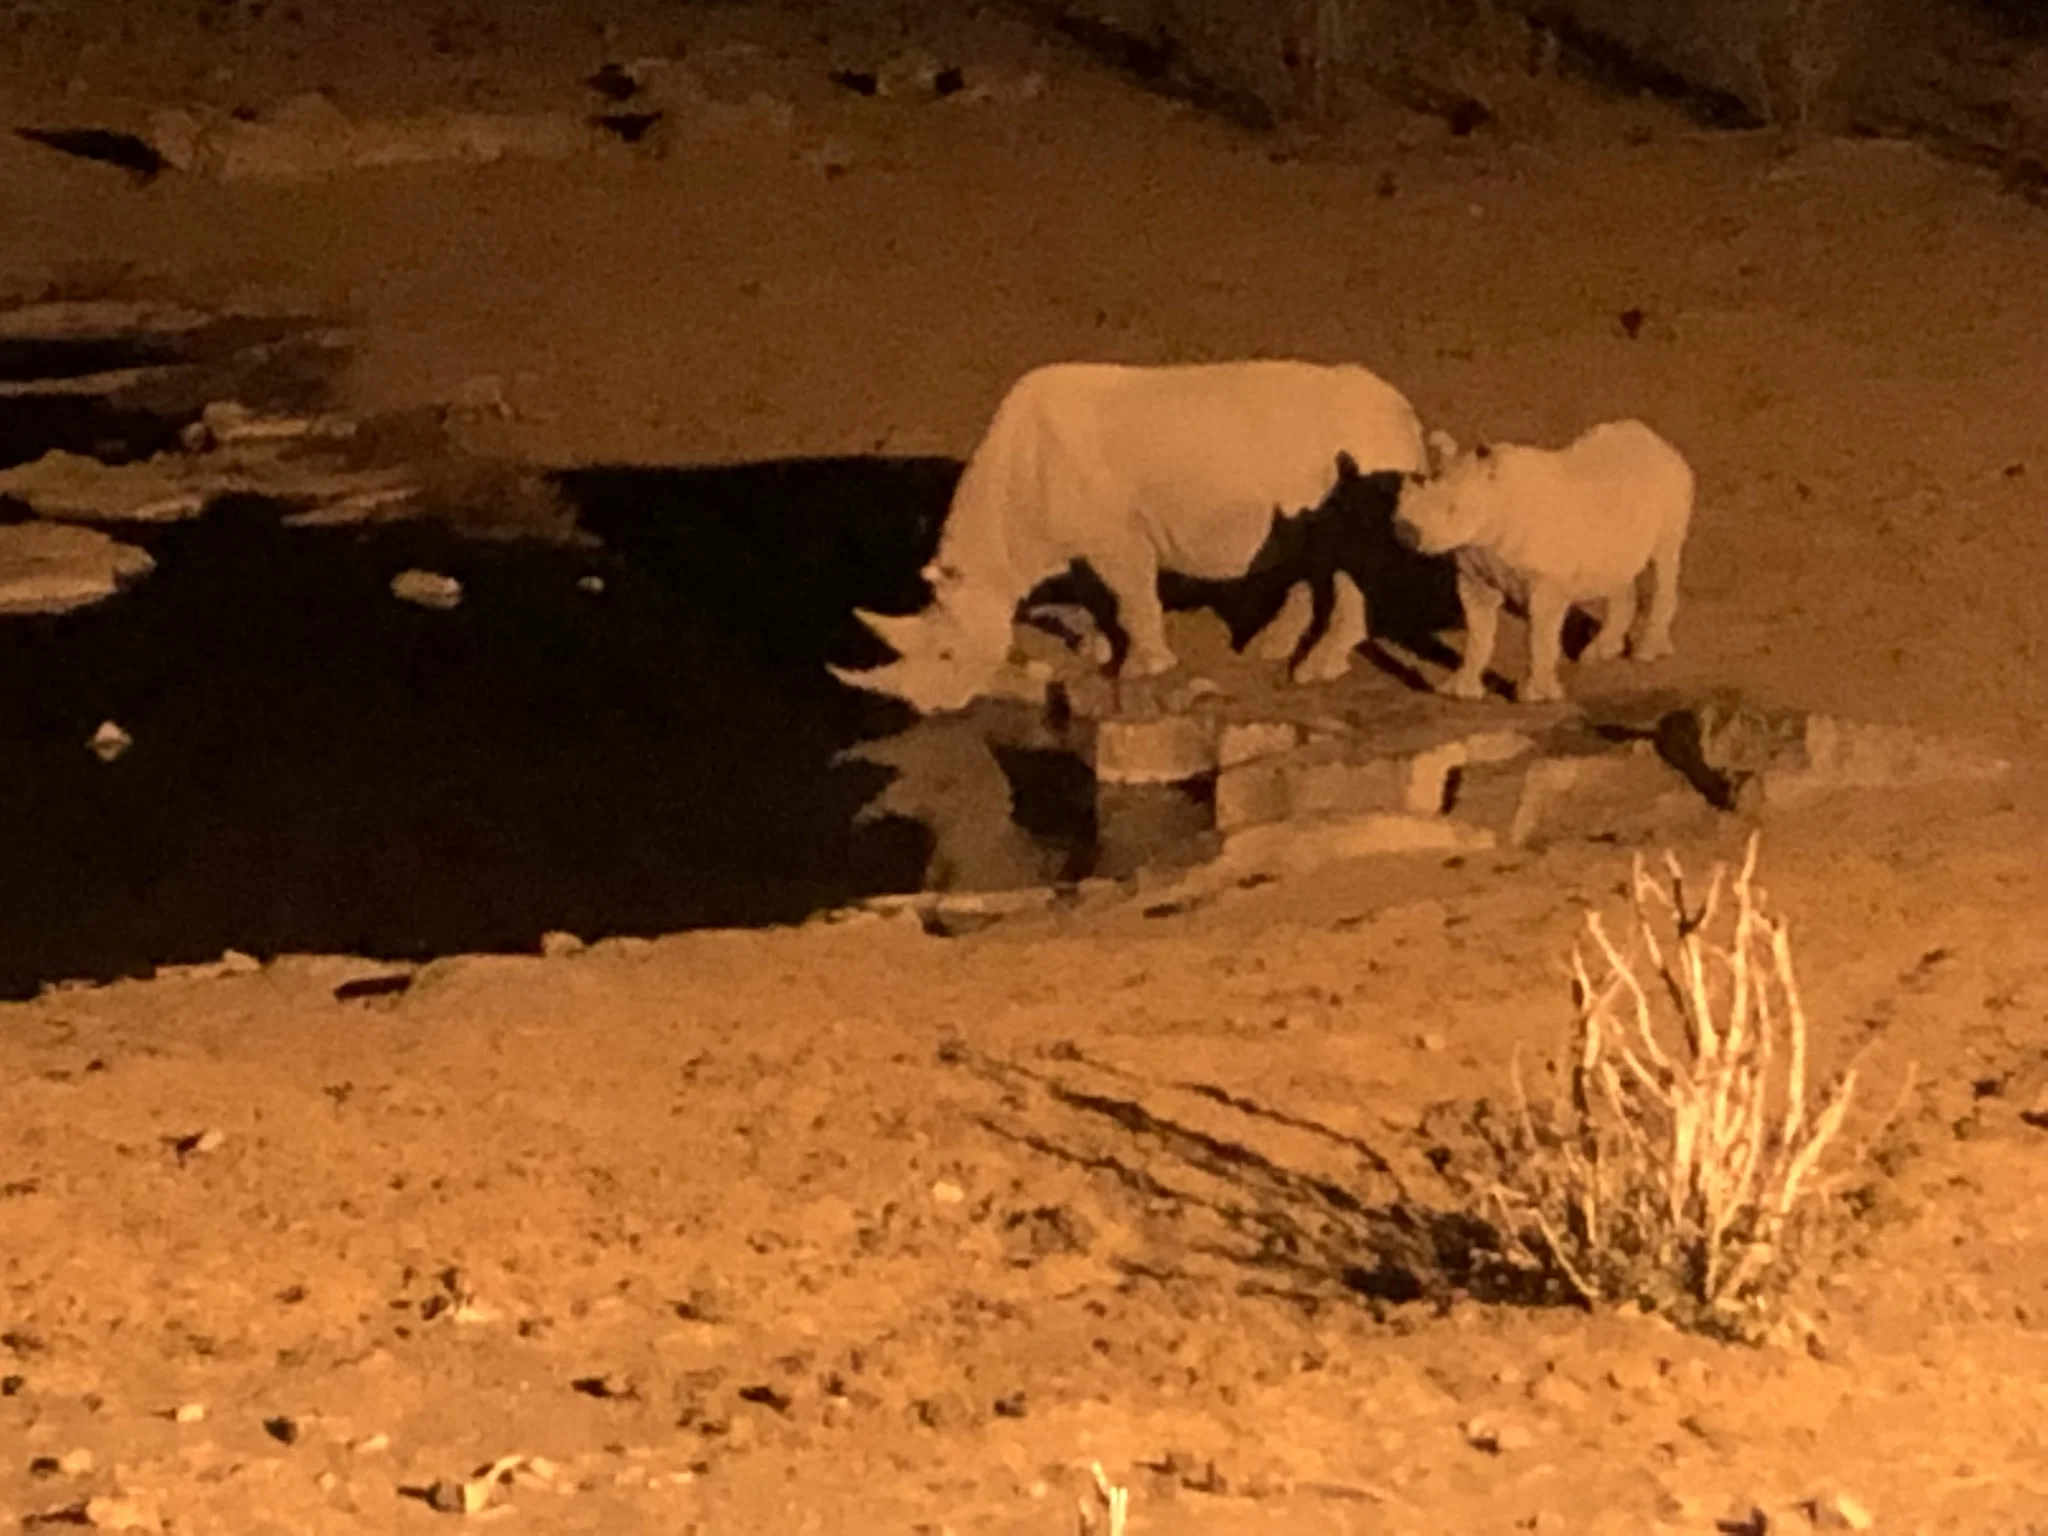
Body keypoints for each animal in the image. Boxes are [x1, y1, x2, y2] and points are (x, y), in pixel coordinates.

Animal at [829, 359, 1431, 714]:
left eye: (948, 655)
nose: (927, 708)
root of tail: (1405, 412)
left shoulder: (1117, 537)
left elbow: (1133, 596)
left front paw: (1145, 667)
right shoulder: (1080, 541)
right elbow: (1098, 597)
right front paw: (1097, 648)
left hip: (1365, 453)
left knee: (1347, 559)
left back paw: (1313, 671)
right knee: (1315, 556)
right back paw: (1269, 649)